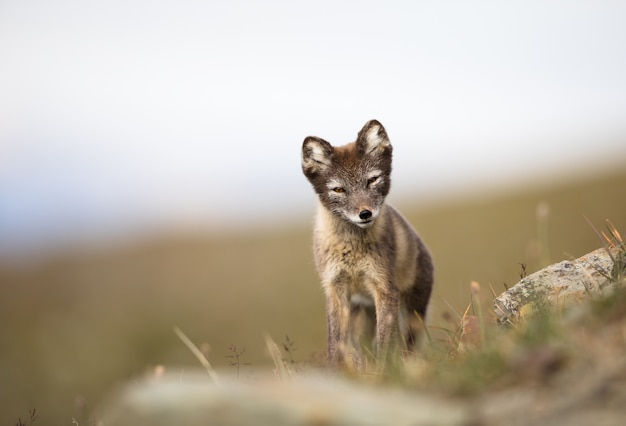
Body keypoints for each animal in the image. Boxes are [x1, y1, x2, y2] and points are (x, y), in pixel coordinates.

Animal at [300, 120, 432, 366]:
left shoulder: (385, 289)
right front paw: (336, 370)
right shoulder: (335, 290)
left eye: (372, 180)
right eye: (339, 189)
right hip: (359, 315)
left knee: (407, 345)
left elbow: (384, 344)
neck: (351, 250)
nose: (365, 214)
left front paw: (384, 371)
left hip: (411, 313)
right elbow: (335, 343)